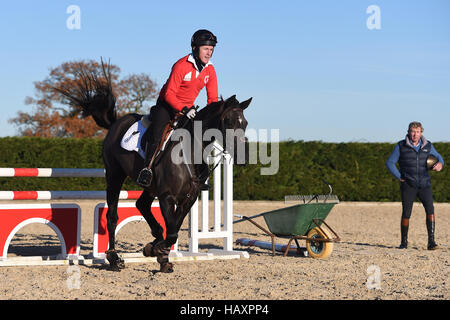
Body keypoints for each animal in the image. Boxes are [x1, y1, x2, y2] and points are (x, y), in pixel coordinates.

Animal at [56, 60, 251, 272]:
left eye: (245, 123)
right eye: (228, 121)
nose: (243, 155)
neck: (189, 151)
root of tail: (115, 124)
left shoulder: (188, 199)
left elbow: (173, 229)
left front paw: (159, 253)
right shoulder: (167, 197)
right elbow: (172, 232)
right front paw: (157, 251)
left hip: (150, 186)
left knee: (141, 205)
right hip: (115, 176)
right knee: (112, 216)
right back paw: (114, 258)